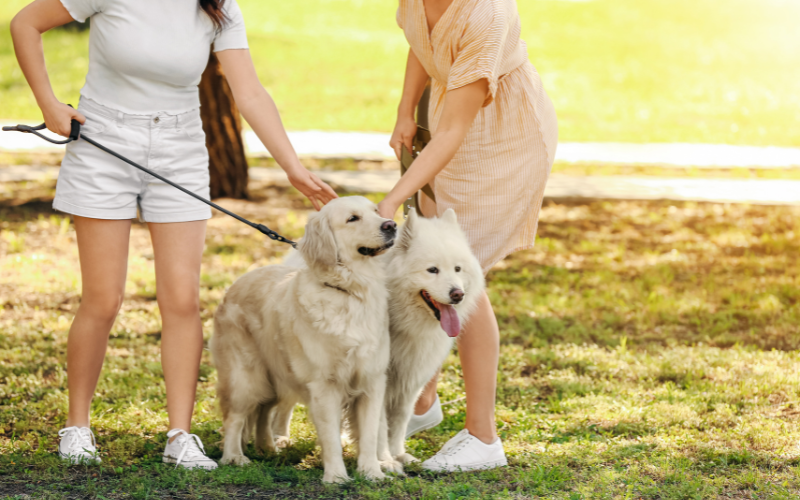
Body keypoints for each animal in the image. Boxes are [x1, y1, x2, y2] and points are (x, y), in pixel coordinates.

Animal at [211, 196, 398, 484]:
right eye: (352, 218)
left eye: (376, 211)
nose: (391, 225)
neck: (350, 292)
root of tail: (235, 284)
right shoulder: (324, 386)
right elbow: (331, 438)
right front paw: (336, 477)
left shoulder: (371, 381)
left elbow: (369, 434)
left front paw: (372, 473)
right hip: (246, 377)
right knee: (235, 417)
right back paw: (234, 457)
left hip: (276, 378)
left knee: (264, 410)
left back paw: (267, 447)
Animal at [380, 208, 484, 464]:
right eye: (432, 270)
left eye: (457, 269)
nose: (458, 294)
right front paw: (384, 459)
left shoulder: (410, 381)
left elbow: (398, 421)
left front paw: (398, 455)